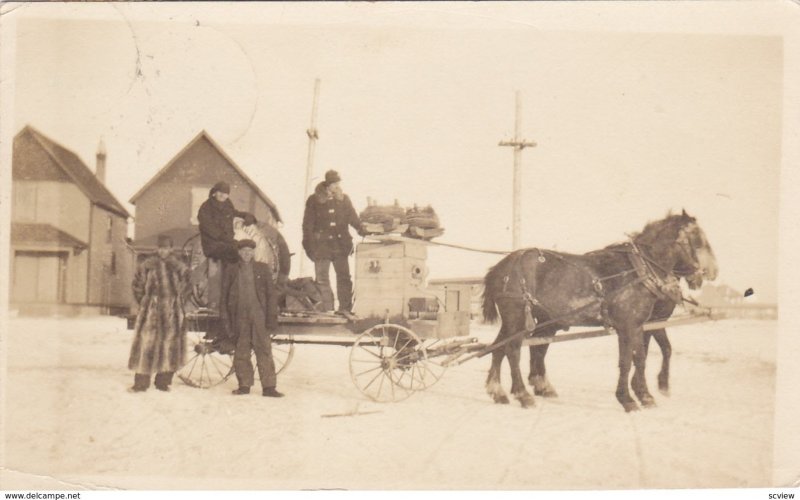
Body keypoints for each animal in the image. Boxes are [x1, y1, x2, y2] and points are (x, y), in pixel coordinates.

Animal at [482, 210, 720, 410]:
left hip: (517, 320)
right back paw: (523, 395)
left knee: (499, 347)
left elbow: (640, 359)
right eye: (699, 241)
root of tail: (500, 267)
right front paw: (628, 399)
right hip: (517, 317)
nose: (712, 271)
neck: (637, 270)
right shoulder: (628, 326)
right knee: (512, 350)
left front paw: (644, 395)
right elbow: (627, 361)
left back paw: (498, 392)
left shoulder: (638, 326)